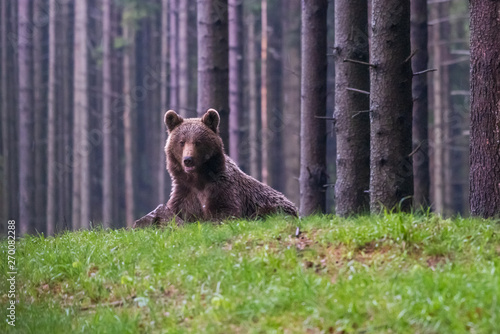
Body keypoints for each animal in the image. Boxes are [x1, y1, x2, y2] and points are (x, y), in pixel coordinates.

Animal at [132, 108, 296, 228]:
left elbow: (223, 214)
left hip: (274, 206)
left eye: (197, 142)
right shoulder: (185, 192)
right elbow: (179, 211)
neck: (198, 180)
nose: (188, 160)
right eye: (181, 142)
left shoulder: (222, 189)